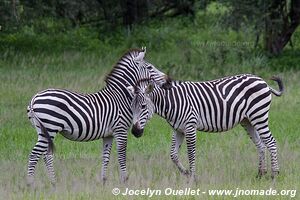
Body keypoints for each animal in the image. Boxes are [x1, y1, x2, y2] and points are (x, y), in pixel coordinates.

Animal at [25, 48, 171, 186]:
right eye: (150, 67)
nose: (169, 81)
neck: (121, 96)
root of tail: (34, 98)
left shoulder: (109, 135)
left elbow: (106, 157)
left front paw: (103, 181)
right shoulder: (121, 130)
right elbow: (121, 155)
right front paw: (125, 180)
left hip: (43, 130)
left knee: (46, 155)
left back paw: (53, 183)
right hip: (50, 128)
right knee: (35, 154)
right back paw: (31, 185)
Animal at [127, 74, 284, 180]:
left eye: (143, 106)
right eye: (131, 107)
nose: (135, 132)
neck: (172, 102)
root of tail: (262, 80)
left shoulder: (190, 127)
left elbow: (191, 154)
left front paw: (193, 177)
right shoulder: (178, 130)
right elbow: (173, 155)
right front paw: (186, 173)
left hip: (259, 116)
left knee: (271, 142)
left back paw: (274, 175)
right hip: (248, 121)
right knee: (260, 144)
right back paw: (260, 174)